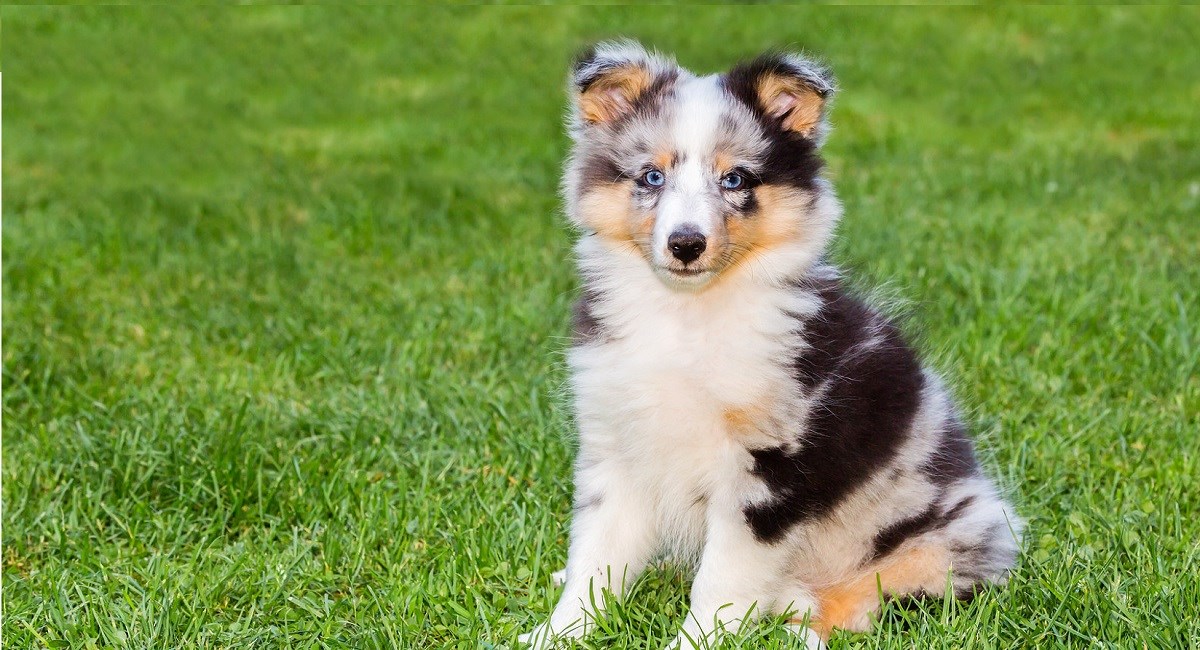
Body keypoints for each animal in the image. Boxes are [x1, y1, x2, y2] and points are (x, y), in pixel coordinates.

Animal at [520, 41, 1017, 650]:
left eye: (735, 179)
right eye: (652, 176)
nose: (686, 244)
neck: (688, 315)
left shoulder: (769, 466)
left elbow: (720, 580)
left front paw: (696, 640)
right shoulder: (617, 446)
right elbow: (597, 559)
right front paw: (556, 633)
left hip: (929, 554)